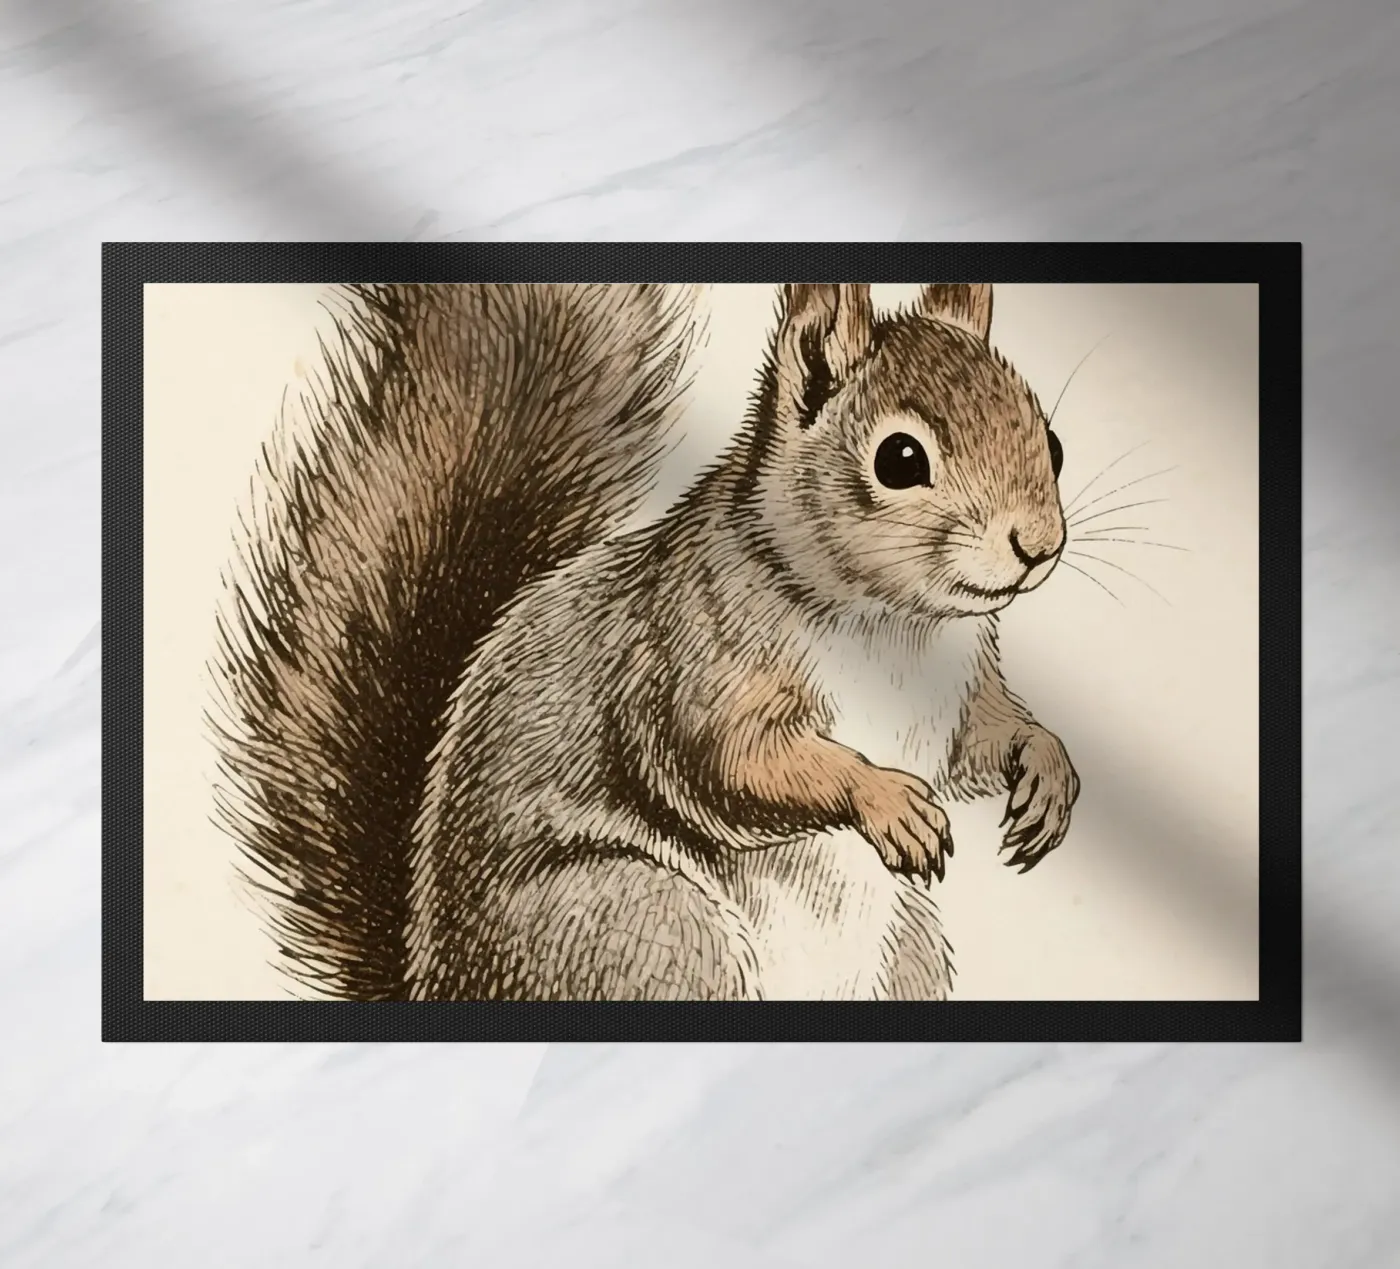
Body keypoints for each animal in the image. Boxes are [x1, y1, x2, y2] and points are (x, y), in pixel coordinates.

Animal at [210, 280, 1079, 1002]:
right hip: (641, 923)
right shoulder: (690, 655)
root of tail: (436, 986)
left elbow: (985, 739)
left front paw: (1047, 770)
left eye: (1054, 442)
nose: (1037, 545)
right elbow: (728, 760)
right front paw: (885, 797)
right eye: (900, 459)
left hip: (907, 949)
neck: (898, 627)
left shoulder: (963, 690)